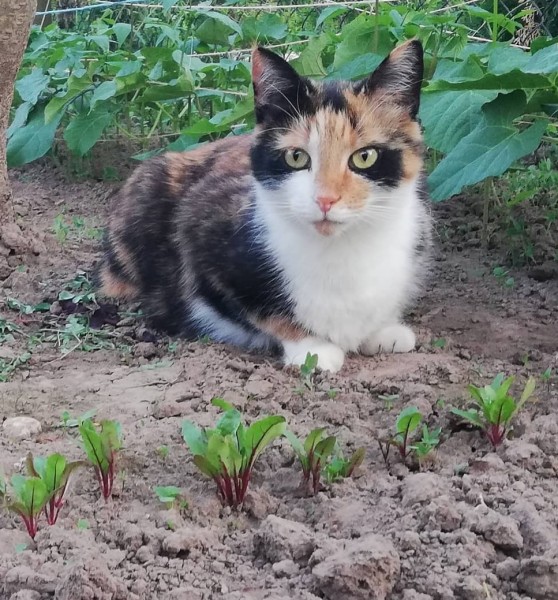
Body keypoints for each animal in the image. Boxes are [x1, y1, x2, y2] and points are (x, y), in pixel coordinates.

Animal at [98, 39, 431, 373]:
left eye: (365, 157)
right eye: (296, 157)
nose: (325, 199)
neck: (342, 250)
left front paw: (383, 331)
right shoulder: (199, 227)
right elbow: (260, 309)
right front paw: (313, 349)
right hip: (146, 187)